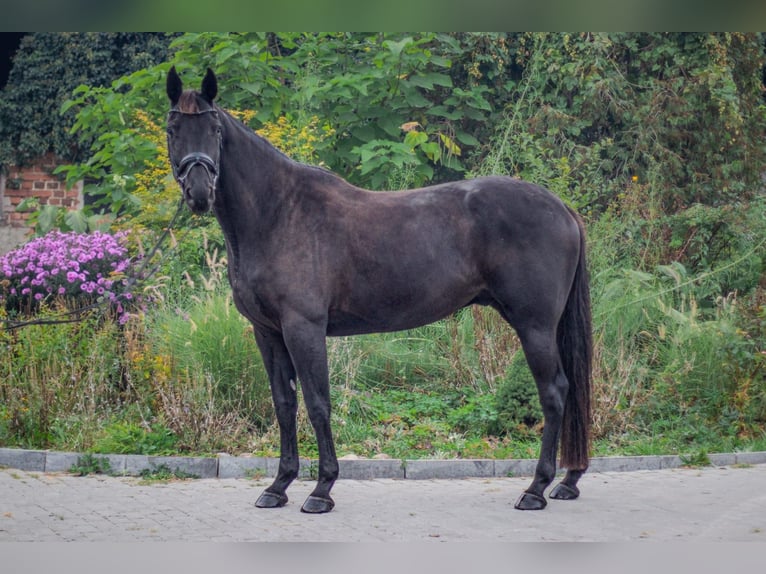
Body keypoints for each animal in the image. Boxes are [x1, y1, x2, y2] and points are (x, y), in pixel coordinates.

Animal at [164, 66, 592, 512]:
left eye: (214, 129)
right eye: (172, 129)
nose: (199, 193)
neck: (278, 213)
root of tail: (561, 208)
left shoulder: (304, 328)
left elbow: (318, 404)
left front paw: (321, 489)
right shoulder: (267, 333)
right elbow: (284, 404)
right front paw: (278, 486)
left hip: (534, 326)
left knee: (554, 392)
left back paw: (536, 488)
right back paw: (567, 481)